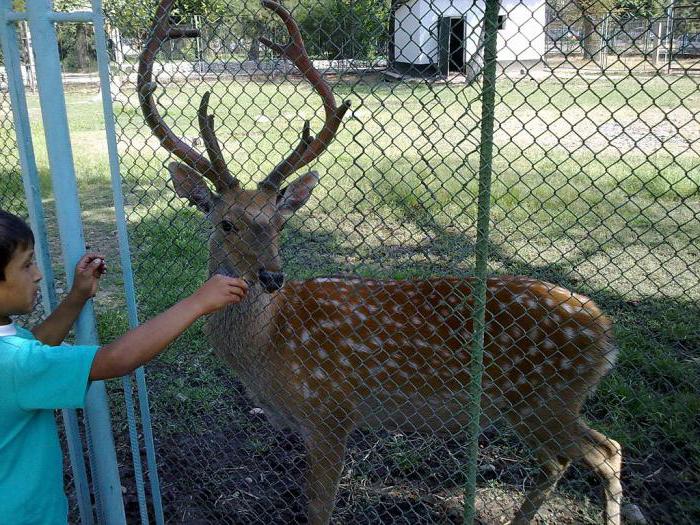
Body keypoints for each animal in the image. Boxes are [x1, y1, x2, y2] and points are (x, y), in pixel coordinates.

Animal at [137, 2, 624, 520]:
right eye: (226, 223)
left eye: (279, 223)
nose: (272, 276)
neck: (265, 353)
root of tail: (606, 333)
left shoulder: (332, 411)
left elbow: (319, 505)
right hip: (537, 405)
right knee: (573, 456)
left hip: (548, 398)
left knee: (603, 450)